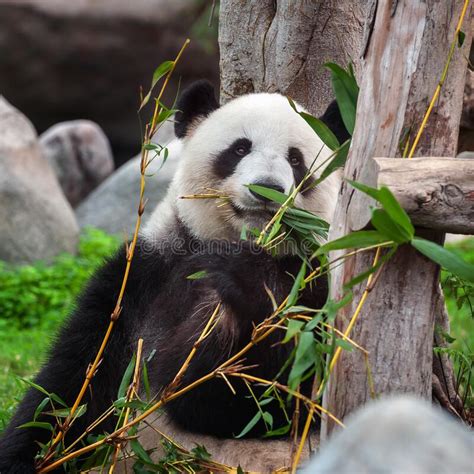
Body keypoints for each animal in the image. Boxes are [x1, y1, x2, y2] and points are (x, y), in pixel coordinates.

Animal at [0, 79, 348, 472]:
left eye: (296, 159)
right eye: (240, 148)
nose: (267, 188)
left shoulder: (317, 284)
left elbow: (277, 394)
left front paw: (240, 290)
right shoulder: (141, 278)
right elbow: (75, 380)